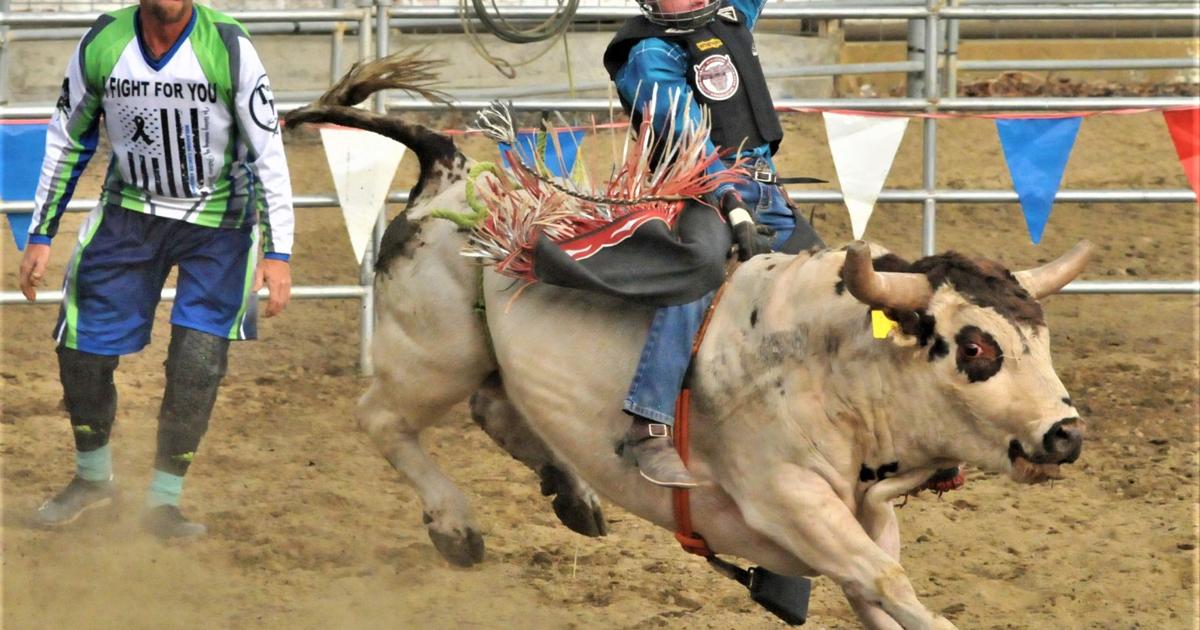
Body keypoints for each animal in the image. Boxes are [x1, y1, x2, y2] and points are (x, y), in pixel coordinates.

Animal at [287, 55, 1091, 630]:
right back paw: (455, 525)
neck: (832, 365)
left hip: (482, 362)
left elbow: (879, 590)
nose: (1066, 434)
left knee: (498, 411)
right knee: (383, 419)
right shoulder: (791, 500)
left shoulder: (865, 515)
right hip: (433, 358)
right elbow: (889, 582)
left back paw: (571, 493)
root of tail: (450, 173)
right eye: (976, 348)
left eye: (1040, 337)